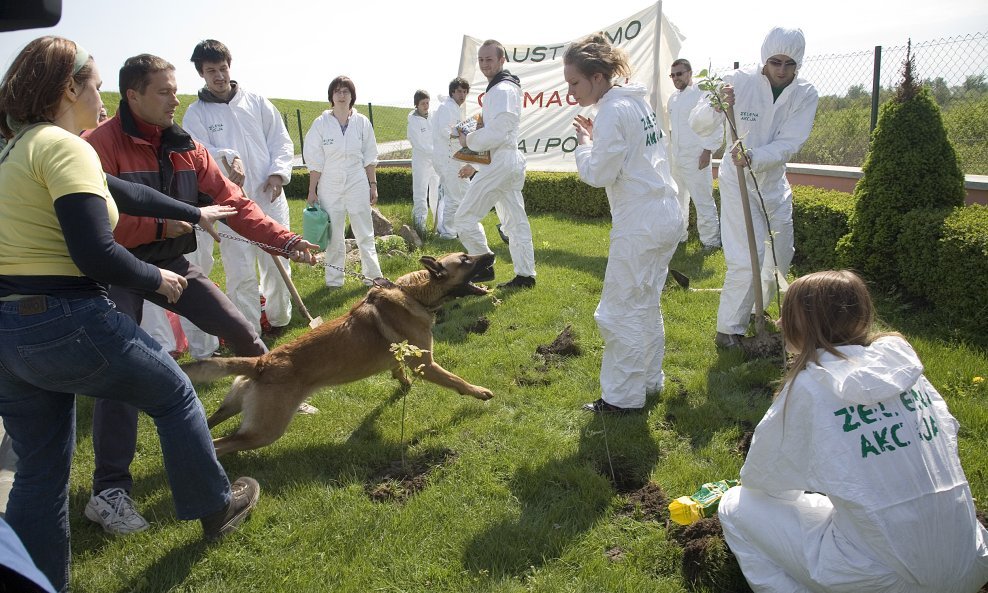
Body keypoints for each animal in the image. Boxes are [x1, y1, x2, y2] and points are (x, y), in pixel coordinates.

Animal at [180, 252, 494, 456]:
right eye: (466, 260)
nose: (491, 254)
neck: (413, 292)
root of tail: (262, 362)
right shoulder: (427, 364)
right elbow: (456, 381)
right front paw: (479, 392)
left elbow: (397, 369)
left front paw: (402, 384)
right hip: (266, 430)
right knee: (221, 443)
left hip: (233, 408)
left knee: (209, 426)